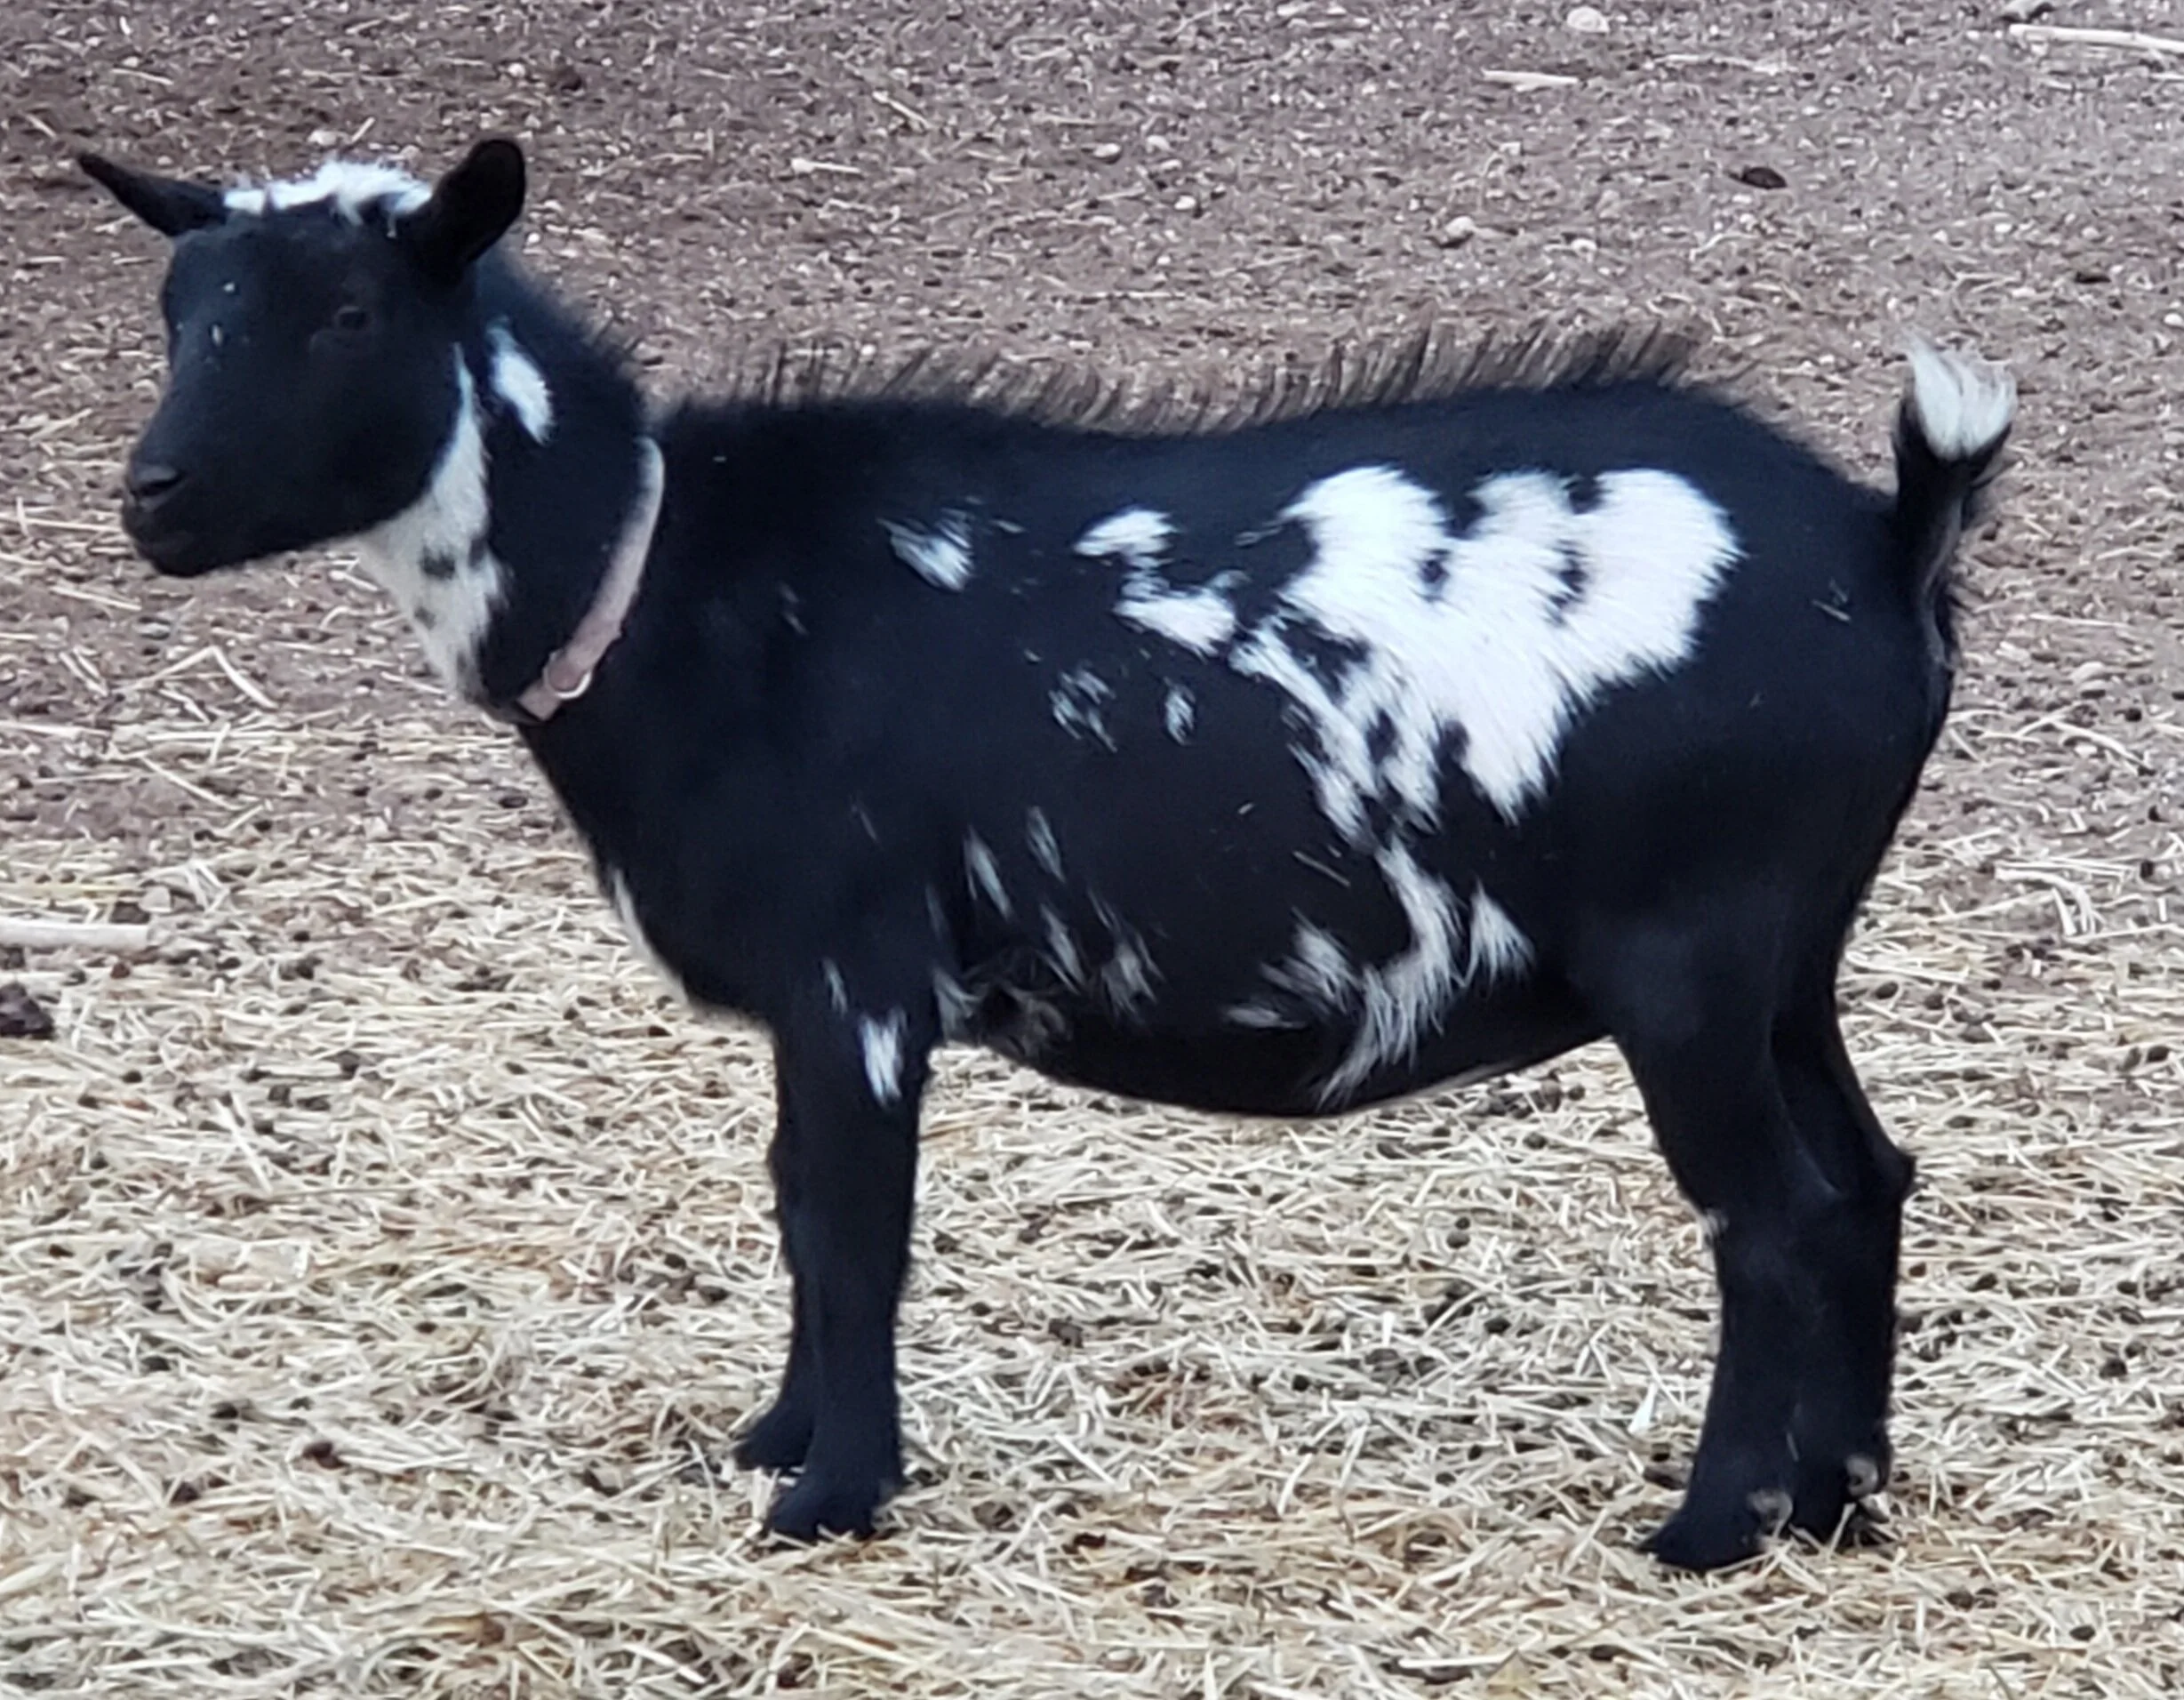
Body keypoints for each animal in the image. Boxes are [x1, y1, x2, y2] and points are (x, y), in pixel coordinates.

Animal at [79, 136, 2014, 1570]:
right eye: (182, 303)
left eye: (344, 310)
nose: (153, 499)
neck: (669, 577)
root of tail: (1885, 540)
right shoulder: (820, 994)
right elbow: (798, 1206)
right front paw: (776, 1440)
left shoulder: (855, 968)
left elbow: (847, 1220)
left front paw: (828, 1493)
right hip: (1788, 953)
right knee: (1863, 1174)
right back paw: (1838, 1505)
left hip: (1688, 950)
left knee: (1766, 1209)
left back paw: (1708, 1526)